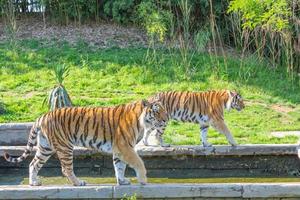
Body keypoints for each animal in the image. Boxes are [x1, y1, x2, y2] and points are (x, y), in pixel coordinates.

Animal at [3, 100, 169, 186]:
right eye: (156, 111)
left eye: (164, 110)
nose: (165, 119)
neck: (142, 121)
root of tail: (43, 115)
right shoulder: (125, 146)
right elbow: (139, 163)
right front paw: (143, 180)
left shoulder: (119, 149)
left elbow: (119, 166)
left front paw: (122, 181)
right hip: (65, 147)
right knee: (66, 169)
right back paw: (78, 182)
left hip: (45, 147)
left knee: (33, 163)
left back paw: (34, 183)